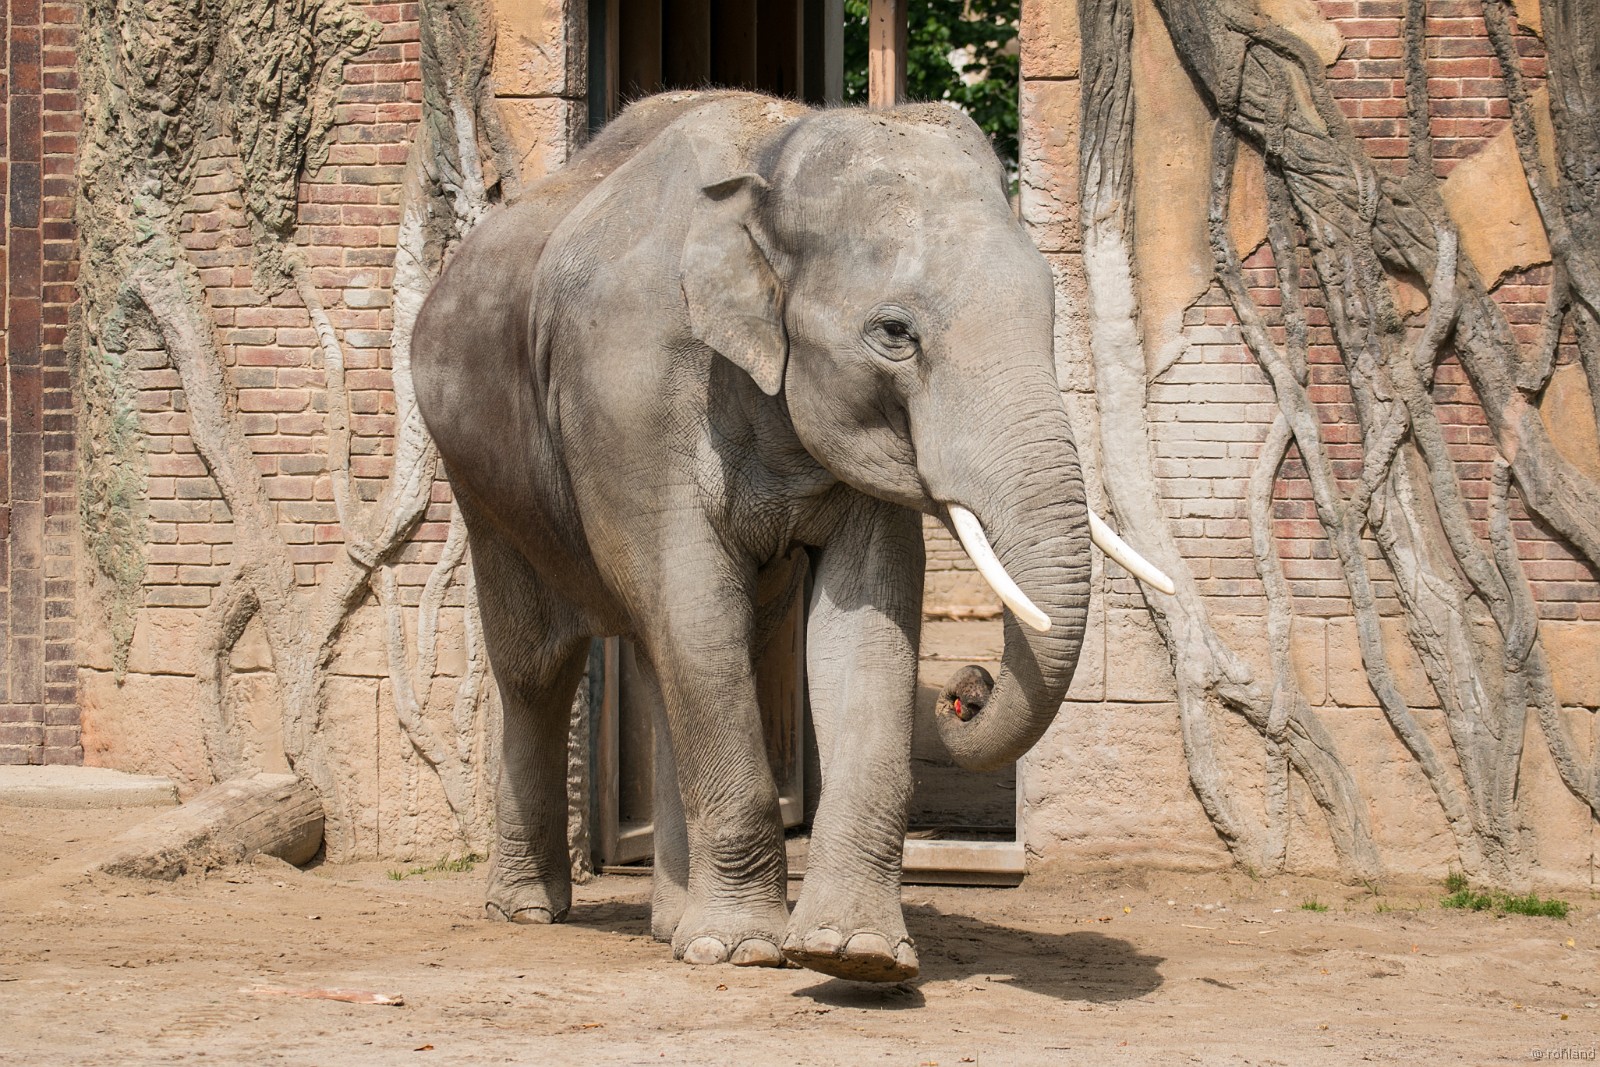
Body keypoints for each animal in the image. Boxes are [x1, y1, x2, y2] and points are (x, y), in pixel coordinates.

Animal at [412, 90, 1170, 983]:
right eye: (894, 332)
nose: (967, 687)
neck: (770, 162)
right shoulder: (629, 390)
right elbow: (693, 600)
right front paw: (743, 951)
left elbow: (861, 621)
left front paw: (858, 955)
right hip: (482, 480)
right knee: (540, 662)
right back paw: (534, 910)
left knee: (676, 654)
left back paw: (670, 924)